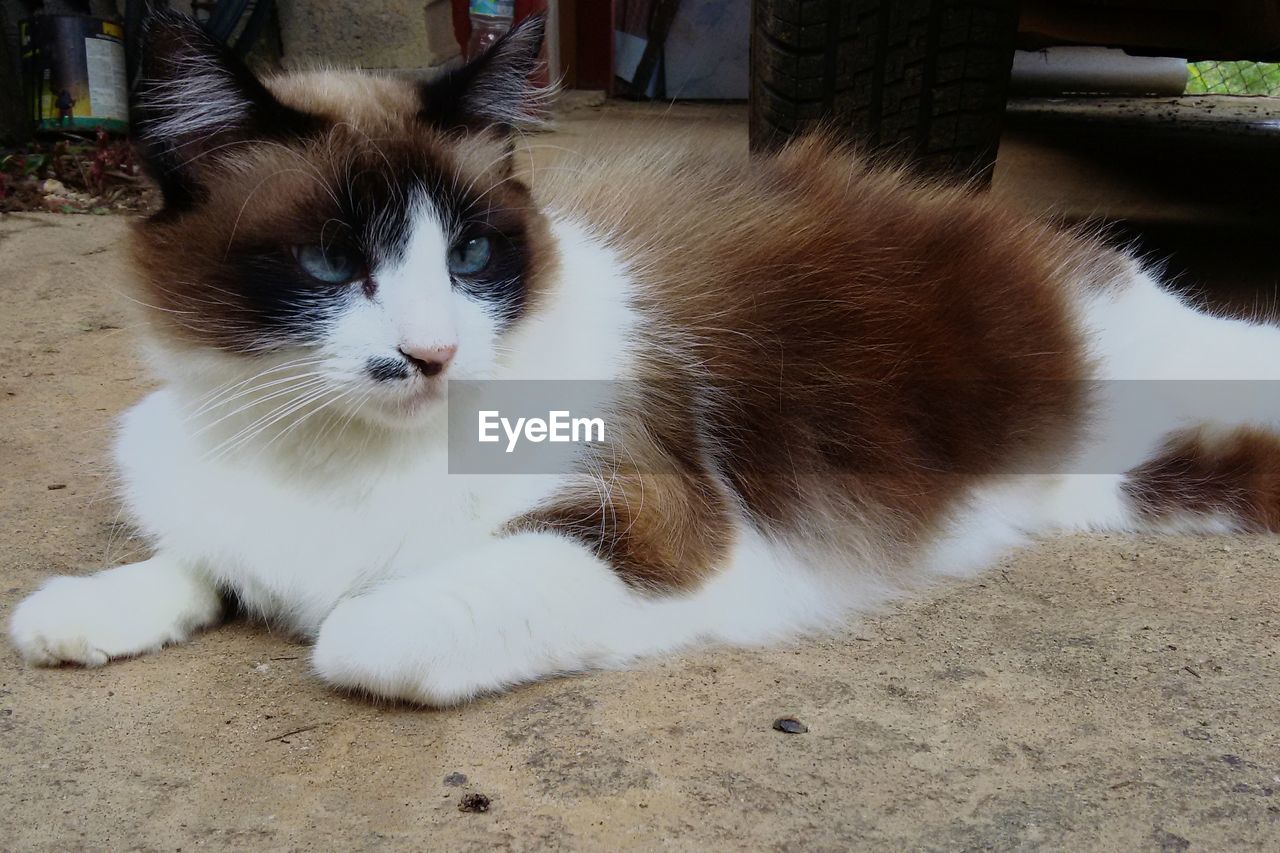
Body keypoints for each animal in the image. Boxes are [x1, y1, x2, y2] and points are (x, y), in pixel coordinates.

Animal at [10, 11, 1280, 701]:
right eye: (330, 264)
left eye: (469, 254)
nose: (431, 355)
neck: (330, 456)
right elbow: (204, 558)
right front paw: (92, 608)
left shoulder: (664, 532)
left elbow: (354, 630)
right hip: (1139, 485)